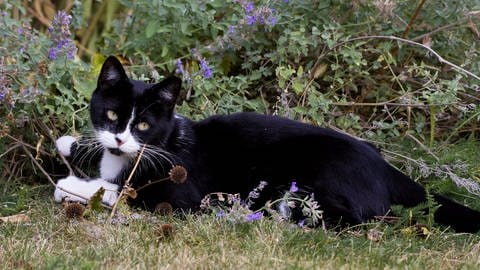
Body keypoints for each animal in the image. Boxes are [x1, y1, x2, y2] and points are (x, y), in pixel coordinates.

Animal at [53, 56, 480, 232]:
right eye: (112, 115)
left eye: (142, 124)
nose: (120, 138)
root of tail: (389, 169)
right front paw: (69, 144)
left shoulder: (182, 191)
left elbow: (130, 192)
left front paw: (73, 186)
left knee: (355, 219)